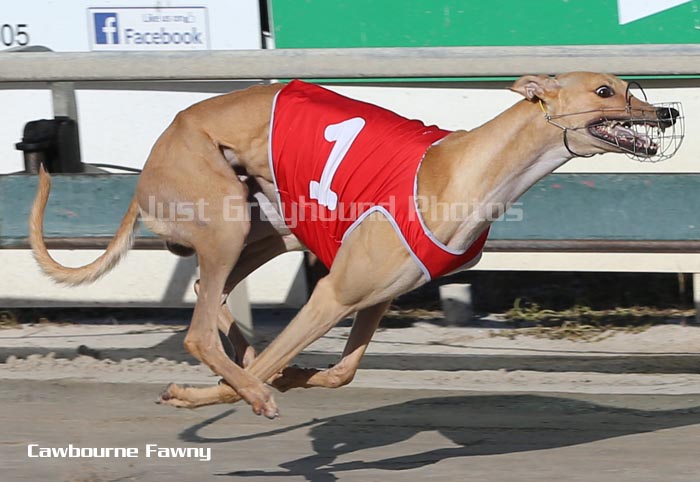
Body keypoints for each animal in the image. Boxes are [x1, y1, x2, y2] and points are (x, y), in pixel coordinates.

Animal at [29, 72, 683, 419]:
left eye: (630, 87)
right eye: (605, 91)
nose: (669, 112)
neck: (465, 169)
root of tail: (153, 153)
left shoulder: (376, 295)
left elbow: (340, 372)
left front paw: (288, 376)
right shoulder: (333, 295)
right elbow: (272, 365)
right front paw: (218, 392)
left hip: (269, 227)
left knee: (208, 298)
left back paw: (243, 352)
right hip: (225, 219)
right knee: (197, 331)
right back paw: (234, 377)